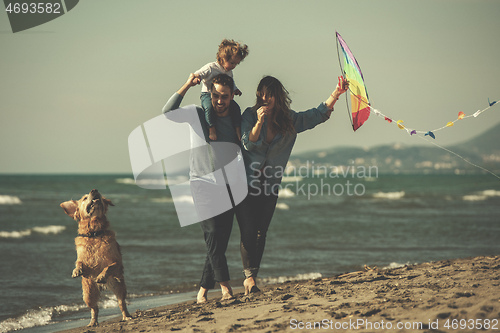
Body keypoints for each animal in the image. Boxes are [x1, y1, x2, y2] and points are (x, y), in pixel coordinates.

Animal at [60, 188, 133, 326]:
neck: (94, 233)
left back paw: (127, 316)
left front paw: (101, 276)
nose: (94, 190)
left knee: (122, 303)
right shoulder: (81, 258)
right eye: (84, 198)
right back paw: (93, 323)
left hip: (119, 287)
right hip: (88, 294)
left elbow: (108, 267)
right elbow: (78, 263)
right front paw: (76, 271)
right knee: (94, 309)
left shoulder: (117, 263)